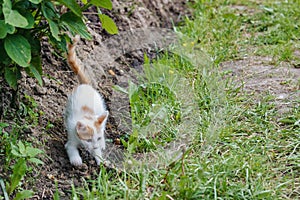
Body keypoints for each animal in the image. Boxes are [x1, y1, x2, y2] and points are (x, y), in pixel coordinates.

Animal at [64, 36, 109, 166]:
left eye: (97, 138)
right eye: (88, 139)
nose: (95, 146)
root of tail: (85, 84)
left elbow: (98, 151)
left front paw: (101, 159)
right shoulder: (71, 136)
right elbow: (71, 147)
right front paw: (76, 160)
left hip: (100, 109)